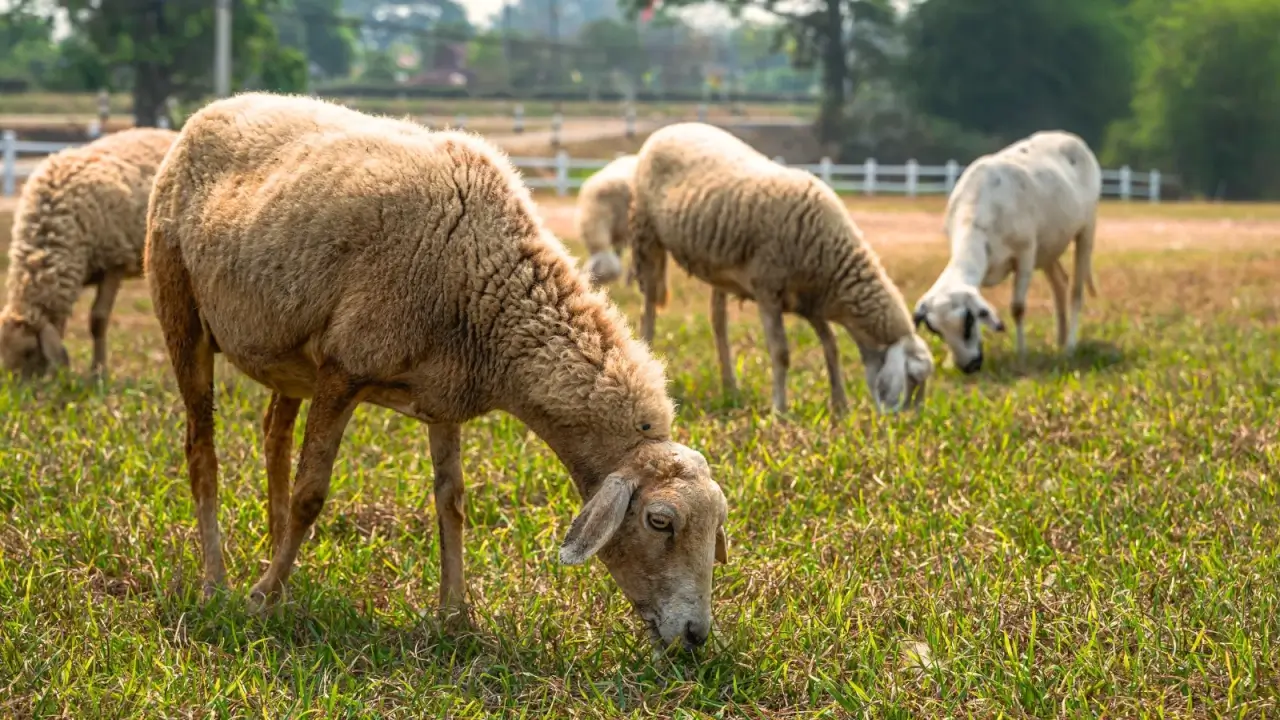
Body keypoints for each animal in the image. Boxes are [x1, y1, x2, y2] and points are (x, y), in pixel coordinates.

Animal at [627, 121, 933, 416]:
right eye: (912, 380)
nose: (905, 424)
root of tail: (670, 128)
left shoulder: (810, 300)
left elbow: (831, 346)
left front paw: (840, 406)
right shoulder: (768, 289)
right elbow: (781, 353)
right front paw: (780, 410)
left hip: (716, 267)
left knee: (718, 322)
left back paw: (730, 388)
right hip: (646, 234)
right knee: (648, 310)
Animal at [912, 130, 1101, 373]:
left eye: (968, 321)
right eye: (937, 331)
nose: (969, 367)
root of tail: (1067, 136)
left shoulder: (1026, 253)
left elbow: (1018, 308)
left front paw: (1021, 354)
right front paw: (947, 362)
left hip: (1086, 228)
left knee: (1076, 292)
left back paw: (1069, 346)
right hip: (1048, 246)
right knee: (1060, 281)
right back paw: (1059, 340)